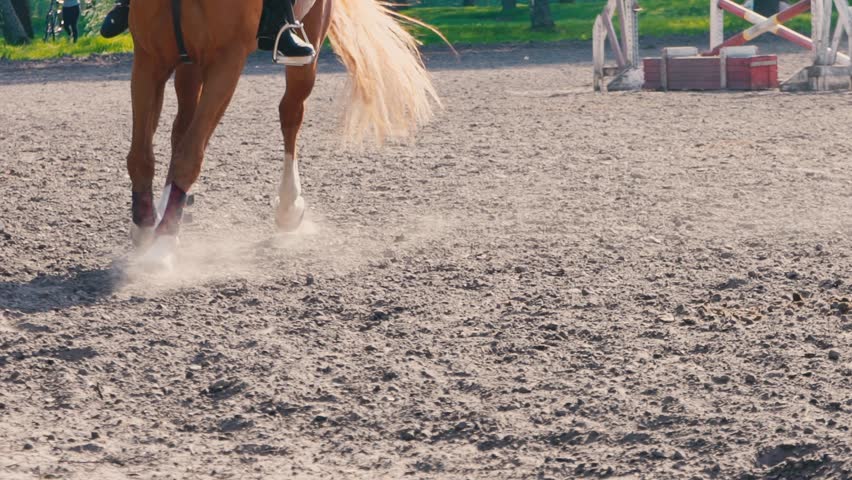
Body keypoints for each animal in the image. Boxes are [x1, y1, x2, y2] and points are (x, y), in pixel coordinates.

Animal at [125, 0, 442, 269]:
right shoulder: (150, 59)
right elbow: (140, 155)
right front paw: (146, 224)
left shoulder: (226, 63)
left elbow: (190, 155)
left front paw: (163, 242)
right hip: (188, 67)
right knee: (181, 128)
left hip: (307, 46)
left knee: (290, 115)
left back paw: (289, 206)